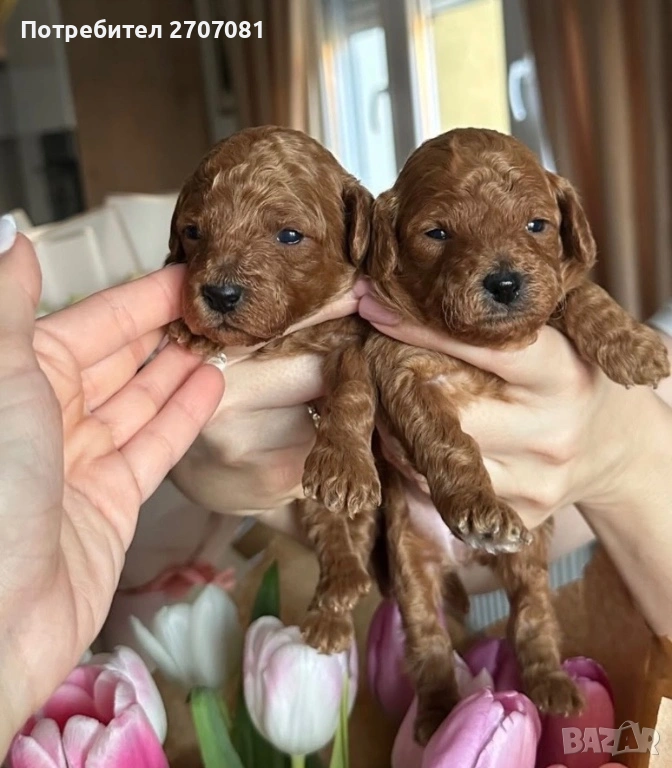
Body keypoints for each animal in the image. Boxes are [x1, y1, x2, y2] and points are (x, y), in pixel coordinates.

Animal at [165, 125, 381, 652]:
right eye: (193, 232)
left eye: (289, 235)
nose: (219, 294)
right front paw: (190, 329)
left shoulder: (353, 337)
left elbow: (352, 390)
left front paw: (344, 467)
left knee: (351, 534)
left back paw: (338, 597)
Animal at [362, 127, 670, 743]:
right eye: (437, 233)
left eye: (536, 224)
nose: (504, 282)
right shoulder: (400, 365)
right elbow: (446, 438)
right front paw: (479, 507)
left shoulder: (552, 296)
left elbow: (581, 293)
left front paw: (635, 346)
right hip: (411, 567)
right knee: (428, 644)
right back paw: (437, 715)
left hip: (530, 560)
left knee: (531, 615)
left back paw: (553, 685)